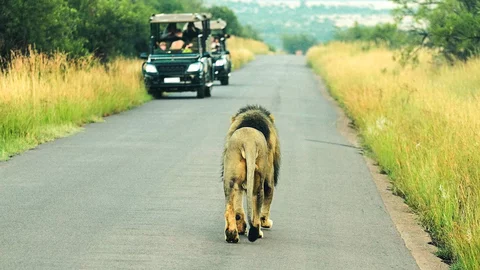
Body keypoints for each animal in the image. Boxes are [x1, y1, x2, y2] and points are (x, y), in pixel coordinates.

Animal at [222, 105, 282, 243]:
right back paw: (257, 233)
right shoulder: (269, 179)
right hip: (259, 181)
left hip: (230, 179)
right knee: (256, 213)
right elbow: (267, 202)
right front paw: (266, 223)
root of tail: (248, 141)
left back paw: (232, 235)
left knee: (230, 208)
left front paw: (241, 228)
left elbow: (238, 207)